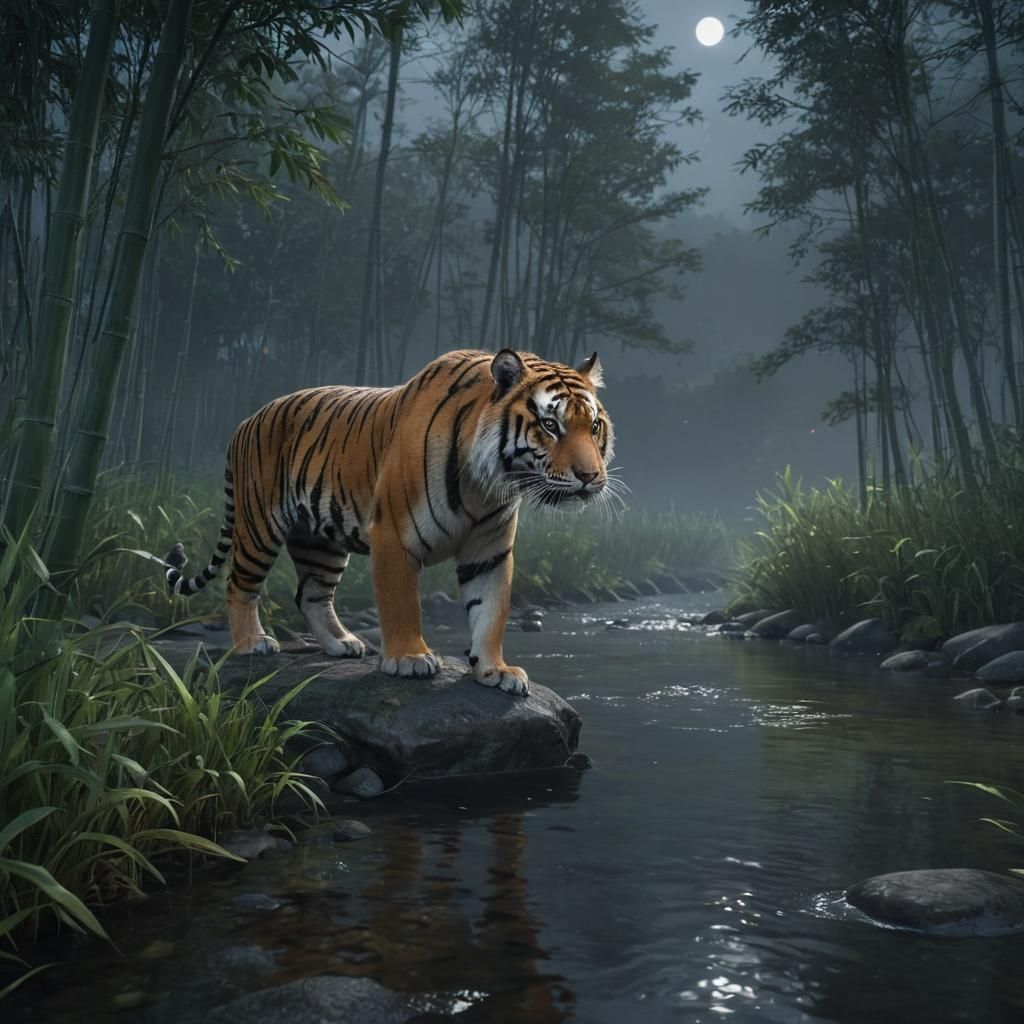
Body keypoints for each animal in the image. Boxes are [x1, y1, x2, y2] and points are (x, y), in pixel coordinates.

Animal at [164, 348, 615, 696]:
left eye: (593, 426)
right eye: (550, 425)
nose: (590, 476)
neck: (486, 482)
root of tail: (246, 420)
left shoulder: (490, 549)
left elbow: (490, 611)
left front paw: (494, 670)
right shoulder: (394, 536)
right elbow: (401, 605)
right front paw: (410, 659)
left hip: (320, 542)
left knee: (310, 594)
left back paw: (343, 643)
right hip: (260, 525)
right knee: (238, 584)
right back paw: (252, 643)